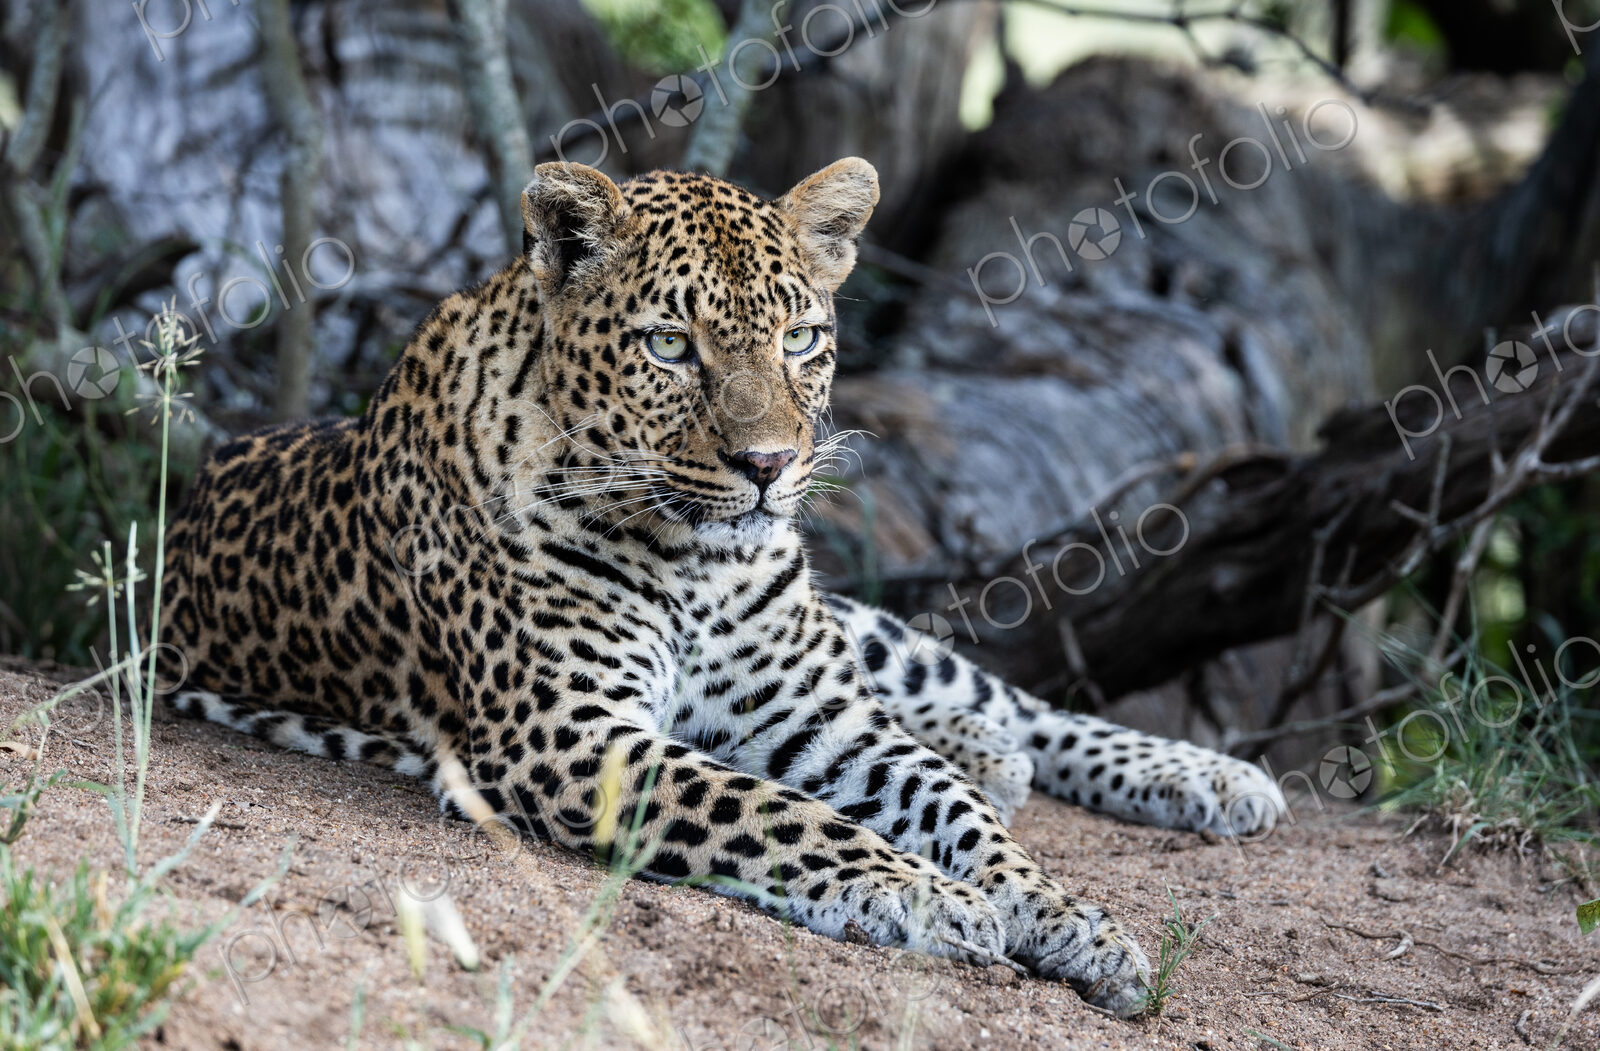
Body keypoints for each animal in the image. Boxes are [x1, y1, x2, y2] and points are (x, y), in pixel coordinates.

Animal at [158, 157, 1285, 1017]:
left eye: (801, 340)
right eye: (670, 345)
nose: (768, 465)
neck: (696, 563)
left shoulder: (828, 719)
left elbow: (956, 811)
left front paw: (1063, 917)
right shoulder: (573, 736)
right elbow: (773, 807)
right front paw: (925, 896)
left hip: (861, 633)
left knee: (995, 699)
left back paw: (1205, 776)